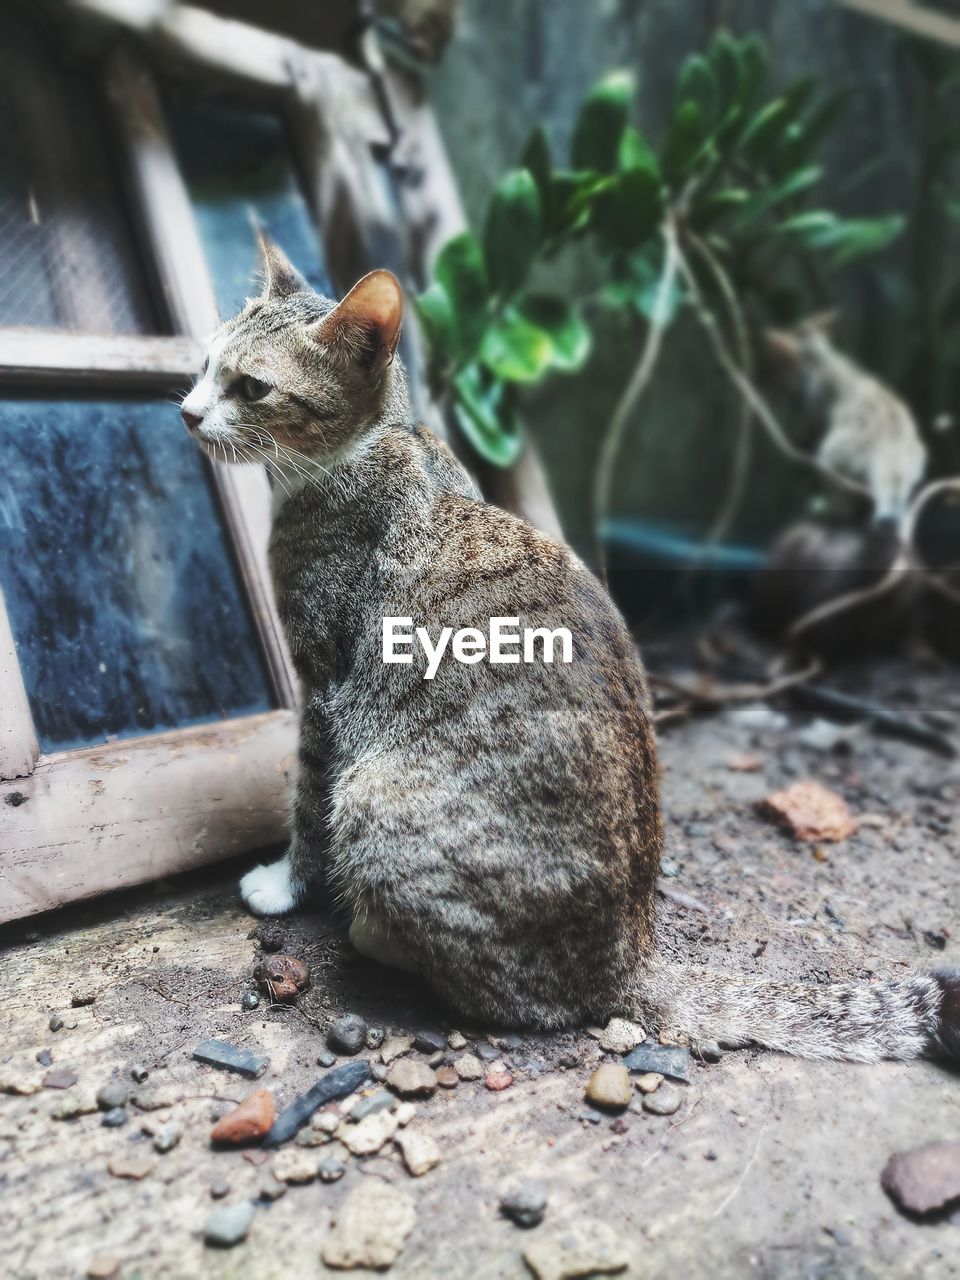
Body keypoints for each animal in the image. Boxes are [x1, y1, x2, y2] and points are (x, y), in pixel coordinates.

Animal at [181, 240, 960, 1059]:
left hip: (374, 794)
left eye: (252, 387)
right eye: (204, 365)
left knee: (503, 992)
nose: (188, 411)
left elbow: (306, 799)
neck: (379, 446)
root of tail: (627, 963)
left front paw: (282, 884)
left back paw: (373, 933)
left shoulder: (325, 681)